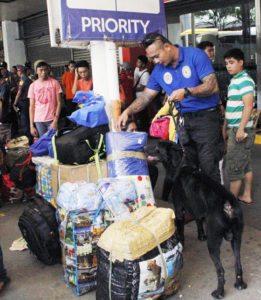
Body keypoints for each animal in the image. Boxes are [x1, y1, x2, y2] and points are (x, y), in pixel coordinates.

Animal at [146, 141, 246, 300]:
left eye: (157, 148)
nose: (143, 148)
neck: (181, 164)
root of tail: (228, 204)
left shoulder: (179, 209)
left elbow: (181, 230)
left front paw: (182, 244)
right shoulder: (197, 208)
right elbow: (198, 220)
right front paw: (200, 235)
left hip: (213, 242)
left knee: (221, 271)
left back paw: (219, 292)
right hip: (236, 239)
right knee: (238, 264)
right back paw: (240, 283)